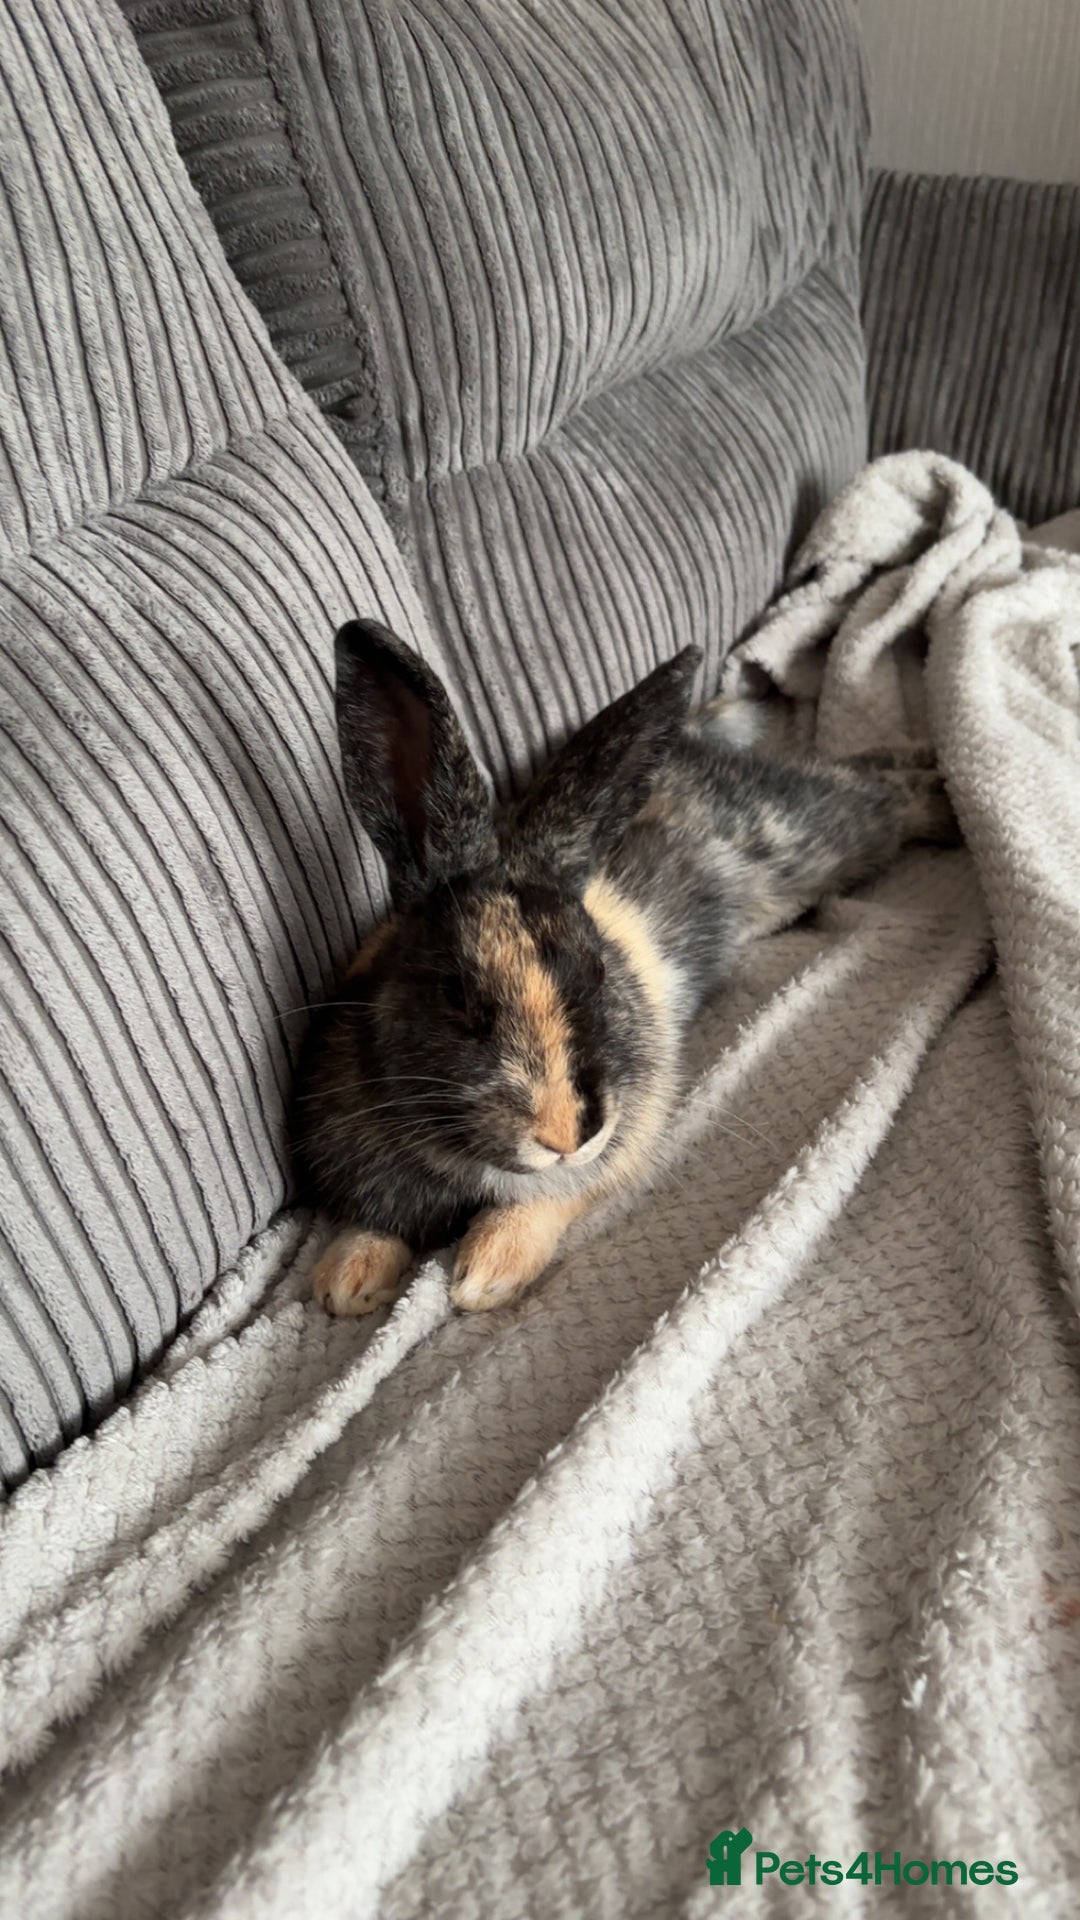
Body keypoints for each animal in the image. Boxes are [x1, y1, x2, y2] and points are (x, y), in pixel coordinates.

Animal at [291, 620, 956, 1317]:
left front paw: (485, 1274)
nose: (567, 1135)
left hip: (812, 837)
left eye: (598, 971)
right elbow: (375, 1221)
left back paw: (941, 793)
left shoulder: (626, 1134)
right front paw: (346, 1282)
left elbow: (550, 1200)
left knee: (876, 786)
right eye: (455, 994)